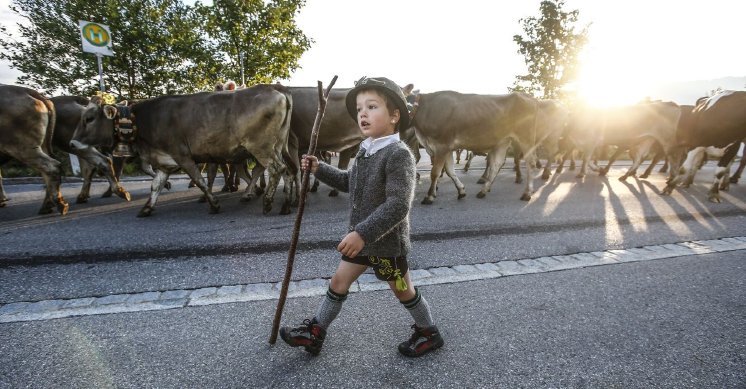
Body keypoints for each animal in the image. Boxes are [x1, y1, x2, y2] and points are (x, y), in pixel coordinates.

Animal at [0, 84, 68, 215]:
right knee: (47, 172)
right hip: (42, 146)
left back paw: (59, 205)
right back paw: (47, 205)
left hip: (24, 147)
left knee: (52, 167)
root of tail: (29, 91)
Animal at [68, 83, 292, 215]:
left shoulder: (182, 155)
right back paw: (285, 204)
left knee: (276, 169)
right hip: (277, 145)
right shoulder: (164, 162)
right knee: (285, 169)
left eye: (89, 118)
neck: (143, 120)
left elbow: (199, 180)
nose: (72, 143)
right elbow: (155, 185)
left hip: (260, 146)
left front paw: (214, 204)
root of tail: (276, 88)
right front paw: (147, 208)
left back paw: (268, 202)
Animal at [406, 90, 540, 202]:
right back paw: (483, 190)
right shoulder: (446, 149)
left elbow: (435, 173)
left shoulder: (441, 146)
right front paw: (461, 191)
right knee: (497, 164)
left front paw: (429, 196)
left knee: (530, 163)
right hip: (503, 141)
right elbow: (450, 171)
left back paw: (527, 193)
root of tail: (528, 97)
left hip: (526, 139)